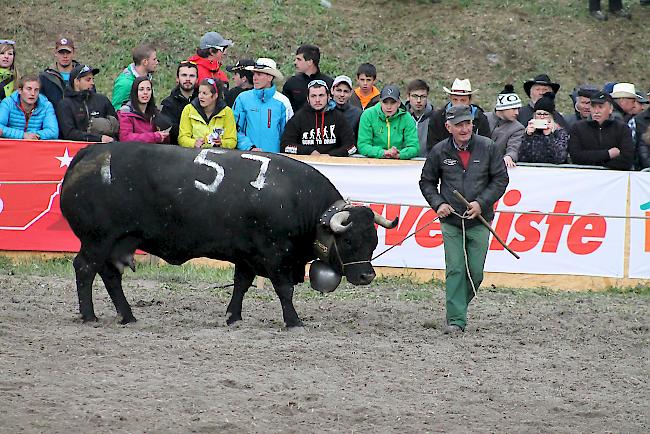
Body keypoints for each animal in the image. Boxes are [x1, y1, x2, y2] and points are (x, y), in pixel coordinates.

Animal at [60, 142, 394, 326]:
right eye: (348, 240)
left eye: (374, 240)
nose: (367, 276)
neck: (299, 200)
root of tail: (90, 153)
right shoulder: (274, 256)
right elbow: (284, 290)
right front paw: (294, 320)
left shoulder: (247, 256)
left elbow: (241, 285)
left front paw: (233, 316)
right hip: (98, 240)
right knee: (84, 269)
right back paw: (89, 315)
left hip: (113, 243)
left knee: (110, 276)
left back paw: (127, 315)